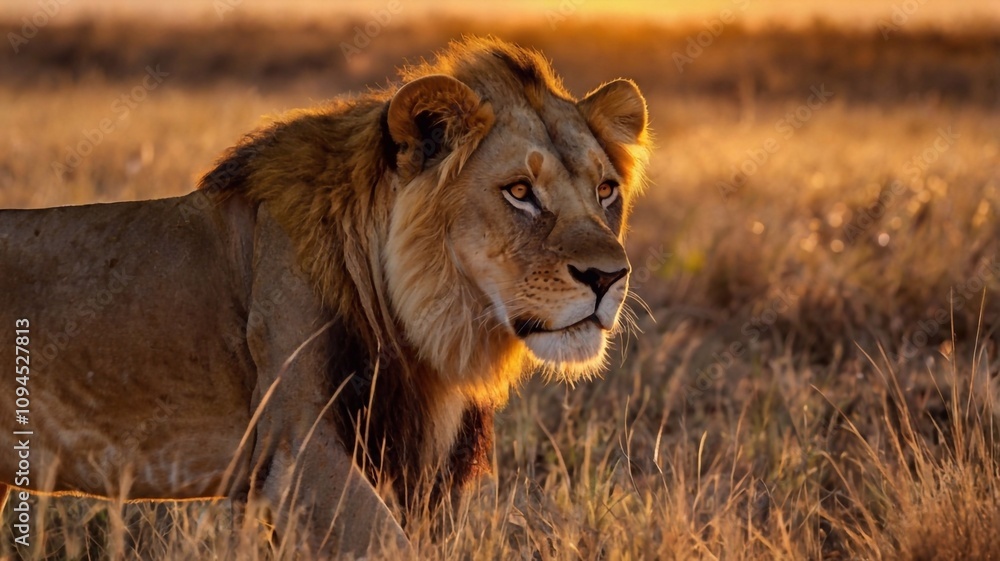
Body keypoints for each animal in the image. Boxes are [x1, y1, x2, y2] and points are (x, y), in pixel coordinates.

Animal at [0, 37, 650, 556]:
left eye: (605, 190)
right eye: (519, 191)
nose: (609, 276)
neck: (429, 321)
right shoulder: (292, 444)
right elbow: (385, 542)